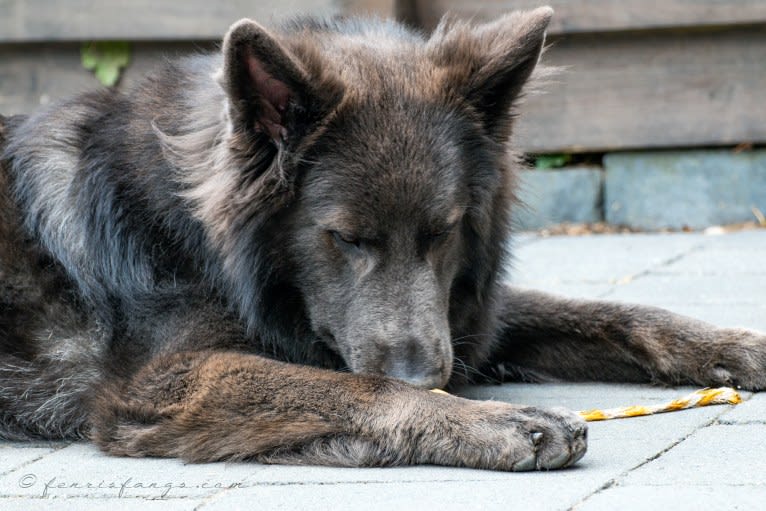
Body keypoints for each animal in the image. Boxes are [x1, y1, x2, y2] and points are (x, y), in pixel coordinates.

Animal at [0, 7, 764, 472]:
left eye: (443, 231)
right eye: (347, 238)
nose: (427, 375)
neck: (193, 232)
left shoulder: (464, 315)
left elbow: (615, 312)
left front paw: (736, 346)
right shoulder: (167, 378)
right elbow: (352, 385)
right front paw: (500, 420)